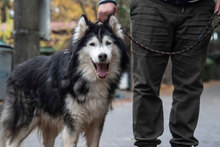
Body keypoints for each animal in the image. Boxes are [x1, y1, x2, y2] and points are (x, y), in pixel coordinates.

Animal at [0, 15, 128, 147]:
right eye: (92, 44)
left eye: (108, 43)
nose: (102, 56)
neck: (84, 77)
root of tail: (17, 69)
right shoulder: (72, 124)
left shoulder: (96, 122)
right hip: (25, 121)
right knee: (11, 142)